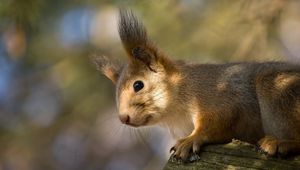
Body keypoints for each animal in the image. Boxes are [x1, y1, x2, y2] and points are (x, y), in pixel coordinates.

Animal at [91, 9, 300, 162]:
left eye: (138, 85)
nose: (123, 118)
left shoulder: (218, 96)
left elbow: (219, 121)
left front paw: (191, 140)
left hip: (279, 89)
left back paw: (281, 142)